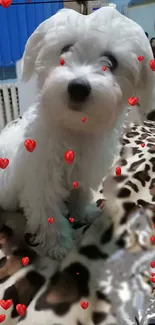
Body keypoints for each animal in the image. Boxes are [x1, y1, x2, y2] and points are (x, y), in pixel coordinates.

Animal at [0, 6, 154, 258]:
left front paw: (83, 212)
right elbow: (49, 214)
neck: (75, 128)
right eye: (65, 49)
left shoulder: (84, 171)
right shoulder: (42, 179)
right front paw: (59, 245)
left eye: (111, 61)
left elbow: (80, 194)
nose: (78, 87)